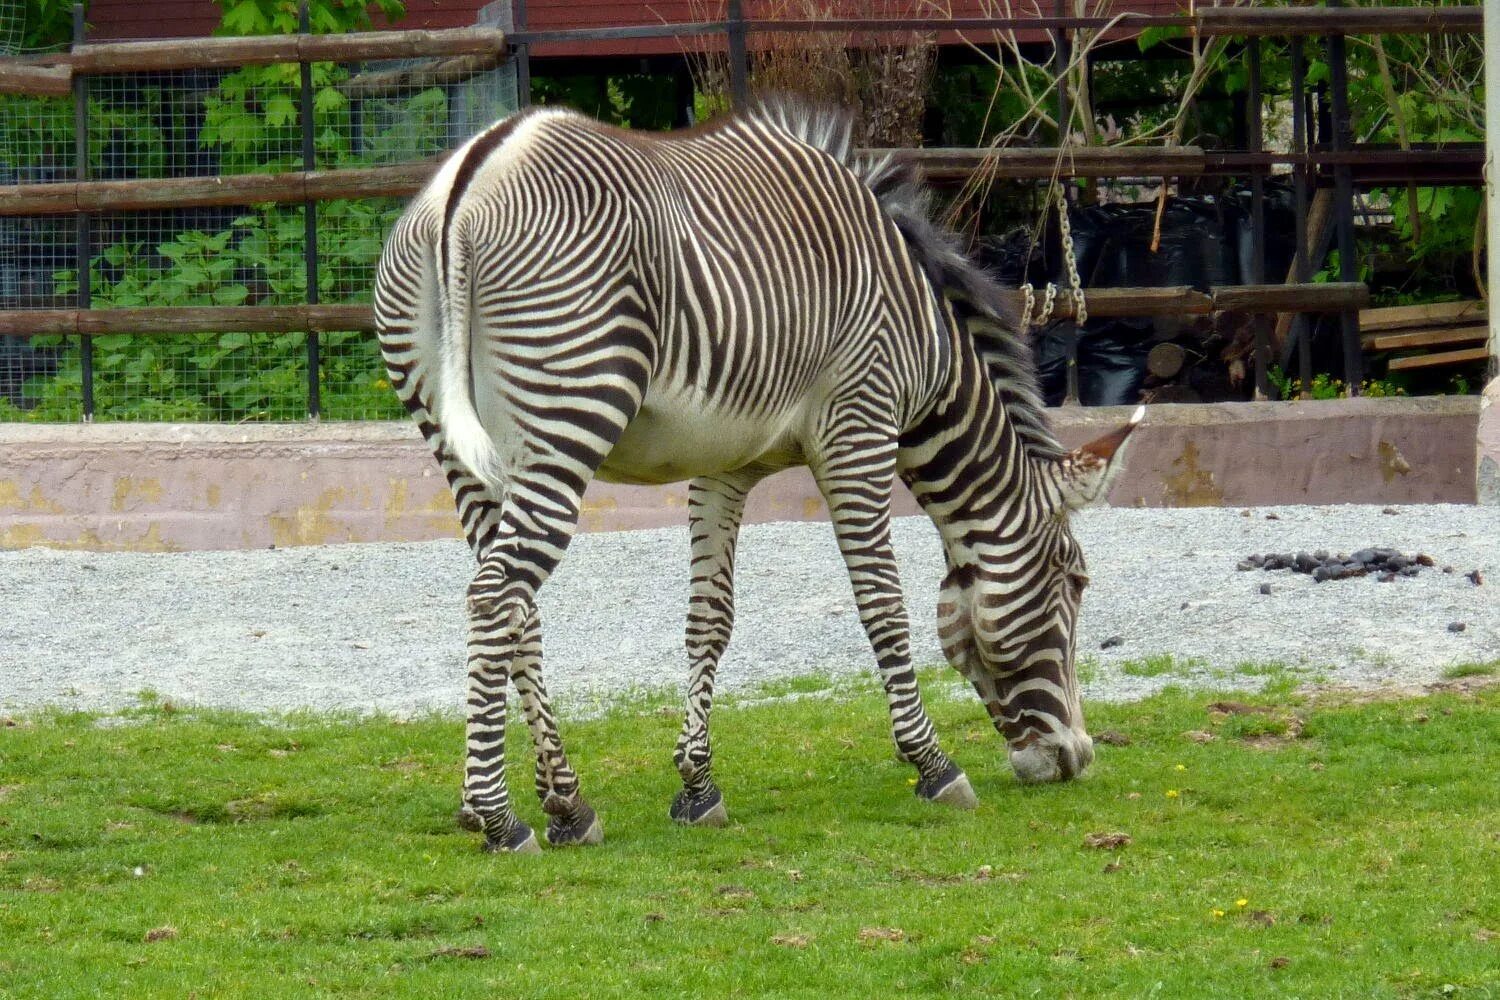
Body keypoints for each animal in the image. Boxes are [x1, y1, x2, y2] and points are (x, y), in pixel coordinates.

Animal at [372, 99, 1134, 851]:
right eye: (1075, 581)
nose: (1077, 758)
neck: (928, 345)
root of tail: (470, 181)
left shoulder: (724, 466)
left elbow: (710, 617)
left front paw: (697, 786)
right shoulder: (858, 431)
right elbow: (882, 606)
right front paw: (934, 766)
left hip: (457, 445)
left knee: (516, 607)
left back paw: (567, 806)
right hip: (568, 419)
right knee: (496, 595)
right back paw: (498, 817)